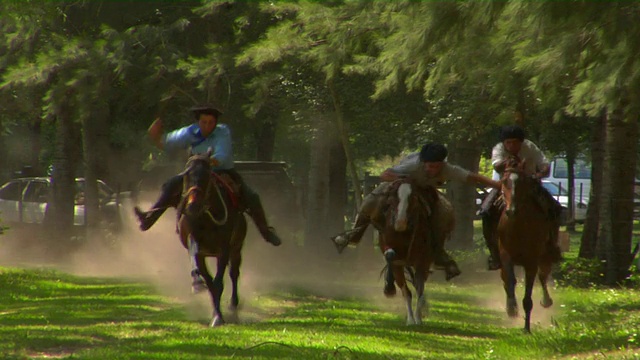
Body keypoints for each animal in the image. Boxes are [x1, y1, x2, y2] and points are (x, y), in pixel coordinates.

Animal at [178, 150, 248, 328]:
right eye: (186, 174)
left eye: (207, 175)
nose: (192, 207)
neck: (207, 218)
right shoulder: (199, 251)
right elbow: (209, 282)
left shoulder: (223, 250)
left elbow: (218, 283)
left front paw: (218, 317)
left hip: (236, 248)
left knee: (234, 273)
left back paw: (233, 306)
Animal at [380, 181, 440, 324]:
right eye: (393, 198)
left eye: (412, 198)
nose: (400, 223)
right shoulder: (396, 261)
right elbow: (406, 292)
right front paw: (410, 320)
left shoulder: (423, 262)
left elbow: (420, 290)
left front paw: (418, 318)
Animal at [498, 156, 552, 334]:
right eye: (504, 181)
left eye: (523, 182)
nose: (511, 210)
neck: (519, 227)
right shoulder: (505, 256)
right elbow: (510, 280)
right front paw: (512, 308)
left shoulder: (531, 262)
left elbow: (528, 297)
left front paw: (526, 328)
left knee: (543, 276)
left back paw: (546, 301)